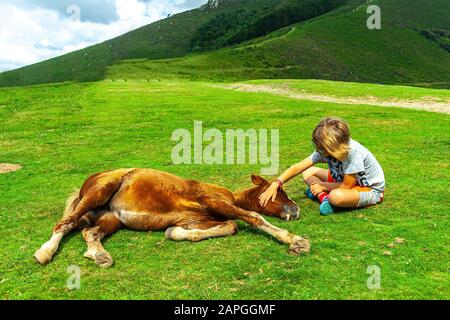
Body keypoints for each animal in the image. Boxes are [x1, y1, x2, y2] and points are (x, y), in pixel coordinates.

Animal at [34, 170, 310, 268]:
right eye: (279, 192)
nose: (296, 210)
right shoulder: (213, 201)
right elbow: (252, 217)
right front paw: (296, 241)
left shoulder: (197, 219)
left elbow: (230, 226)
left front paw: (173, 233)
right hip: (99, 191)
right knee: (64, 223)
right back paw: (44, 252)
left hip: (111, 218)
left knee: (88, 232)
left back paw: (99, 255)